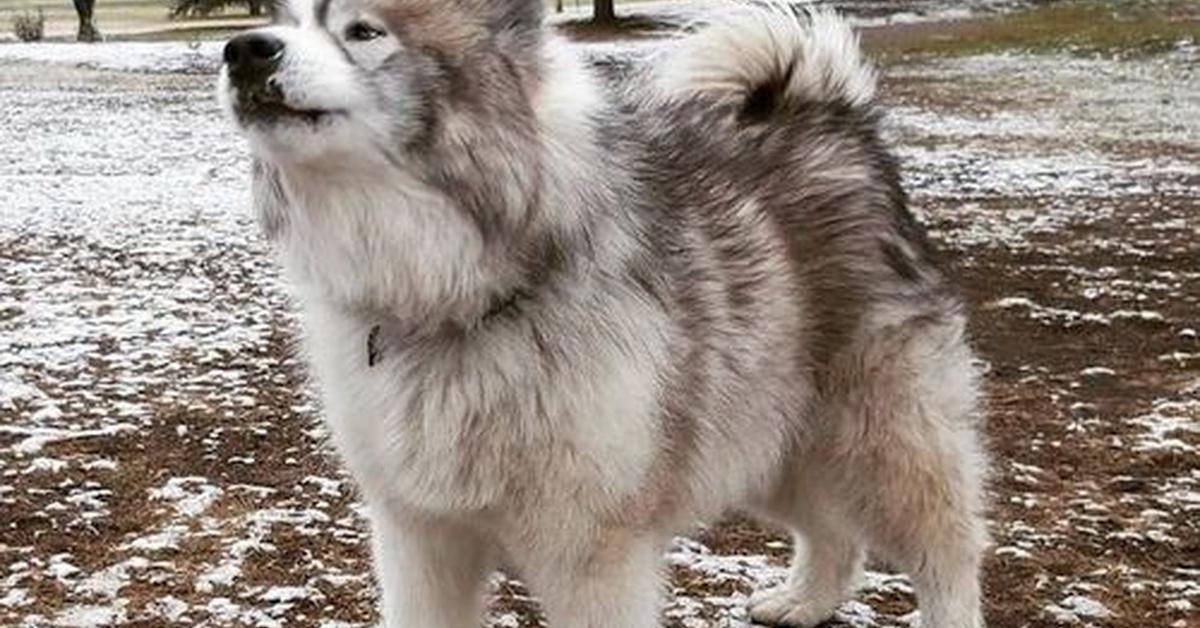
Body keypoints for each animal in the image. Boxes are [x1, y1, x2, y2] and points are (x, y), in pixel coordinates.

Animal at [220, 1, 988, 624]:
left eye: (363, 30)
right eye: (287, 19)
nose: (242, 50)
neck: (455, 300)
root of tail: (831, 116)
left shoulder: (592, 553)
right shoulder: (419, 535)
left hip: (882, 437)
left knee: (946, 549)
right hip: (765, 441)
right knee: (833, 531)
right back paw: (804, 602)